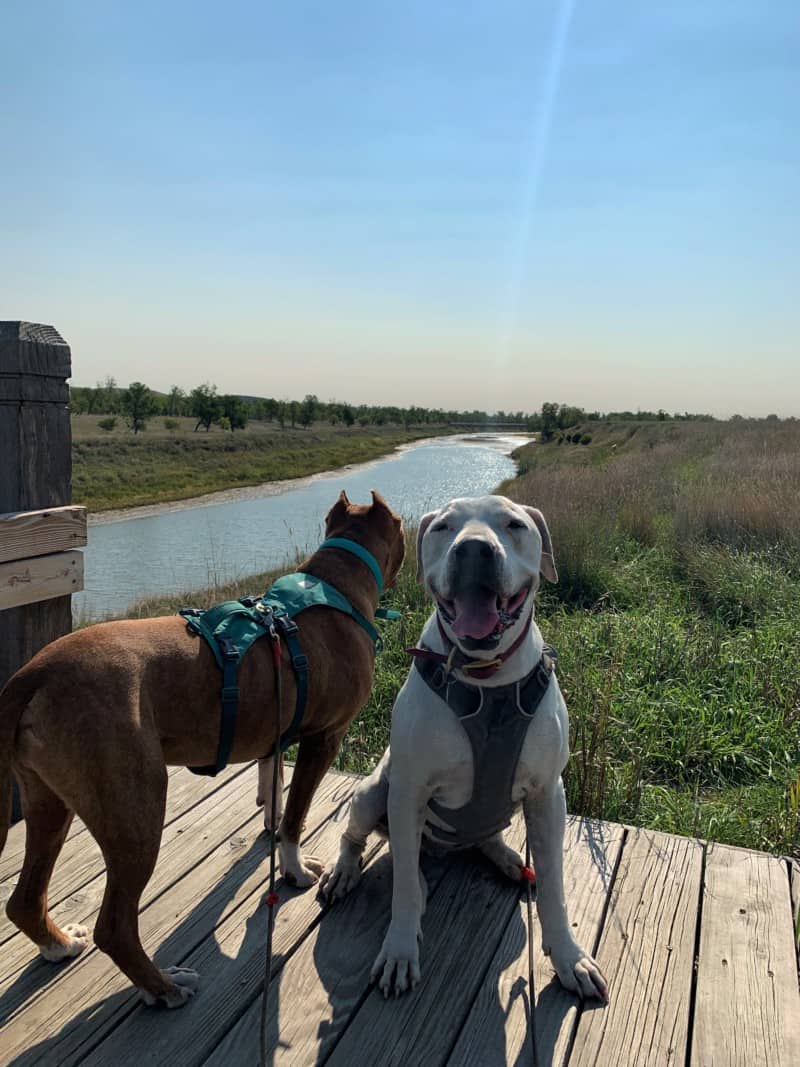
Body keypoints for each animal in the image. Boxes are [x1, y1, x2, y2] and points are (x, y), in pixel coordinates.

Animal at [0, 488, 403, 1002]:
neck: (333, 583)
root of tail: (34, 672)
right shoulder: (323, 739)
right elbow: (295, 817)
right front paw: (293, 870)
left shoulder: (275, 734)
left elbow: (273, 794)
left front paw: (269, 829)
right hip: (135, 808)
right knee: (115, 926)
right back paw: (164, 986)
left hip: (48, 800)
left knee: (25, 899)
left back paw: (59, 945)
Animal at [320, 495, 605, 1002]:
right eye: (444, 527)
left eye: (514, 524)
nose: (474, 549)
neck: (485, 678)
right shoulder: (408, 790)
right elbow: (402, 891)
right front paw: (399, 951)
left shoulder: (547, 793)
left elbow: (555, 886)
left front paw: (569, 957)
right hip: (372, 795)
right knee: (367, 844)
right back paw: (348, 873)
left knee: (484, 837)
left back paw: (508, 858)